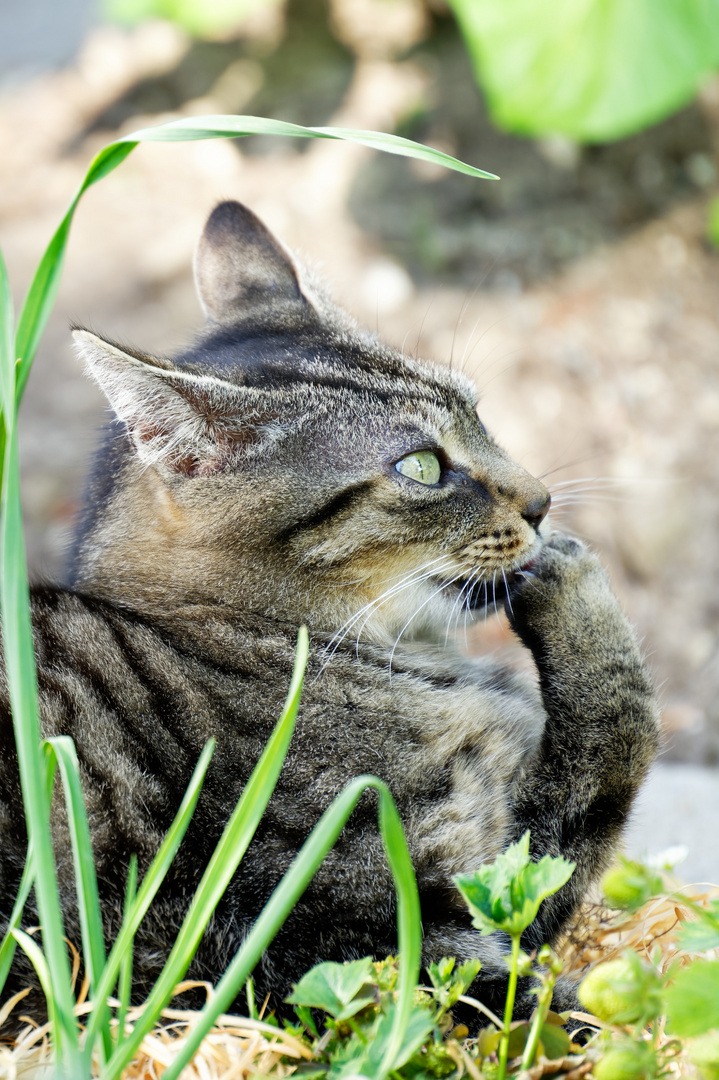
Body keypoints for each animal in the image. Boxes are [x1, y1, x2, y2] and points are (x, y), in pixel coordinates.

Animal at [0, 200, 656, 1019]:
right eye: (421, 467)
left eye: (479, 416)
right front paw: (572, 580)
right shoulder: (383, 932)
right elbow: (611, 751)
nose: (541, 502)